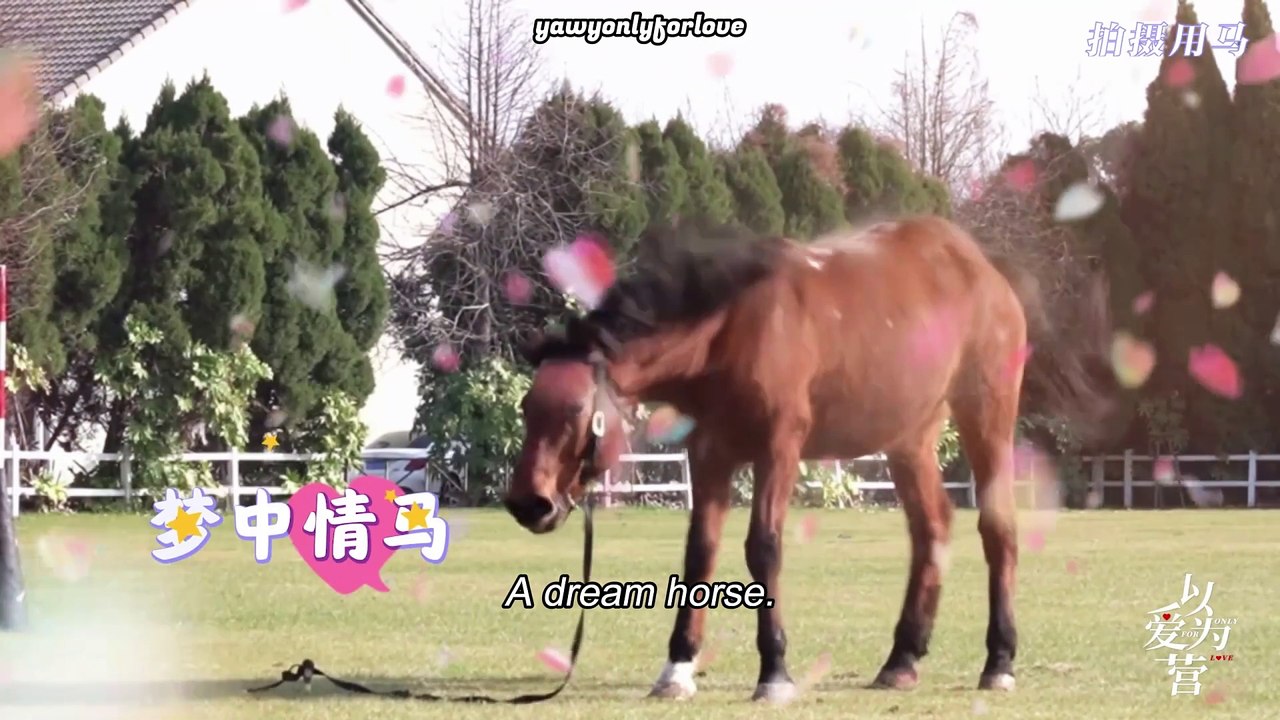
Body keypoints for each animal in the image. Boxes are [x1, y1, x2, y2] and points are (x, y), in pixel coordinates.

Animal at [504, 216, 1116, 703]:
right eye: (528, 406)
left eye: (575, 411)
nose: (528, 503)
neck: (735, 325)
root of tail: (982, 269)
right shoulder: (710, 453)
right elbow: (700, 554)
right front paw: (677, 667)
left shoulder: (779, 448)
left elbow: (763, 549)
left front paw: (774, 670)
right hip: (910, 439)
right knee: (933, 529)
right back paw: (902, 658)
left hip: (986, 415)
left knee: (998, 531)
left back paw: (999, 660)